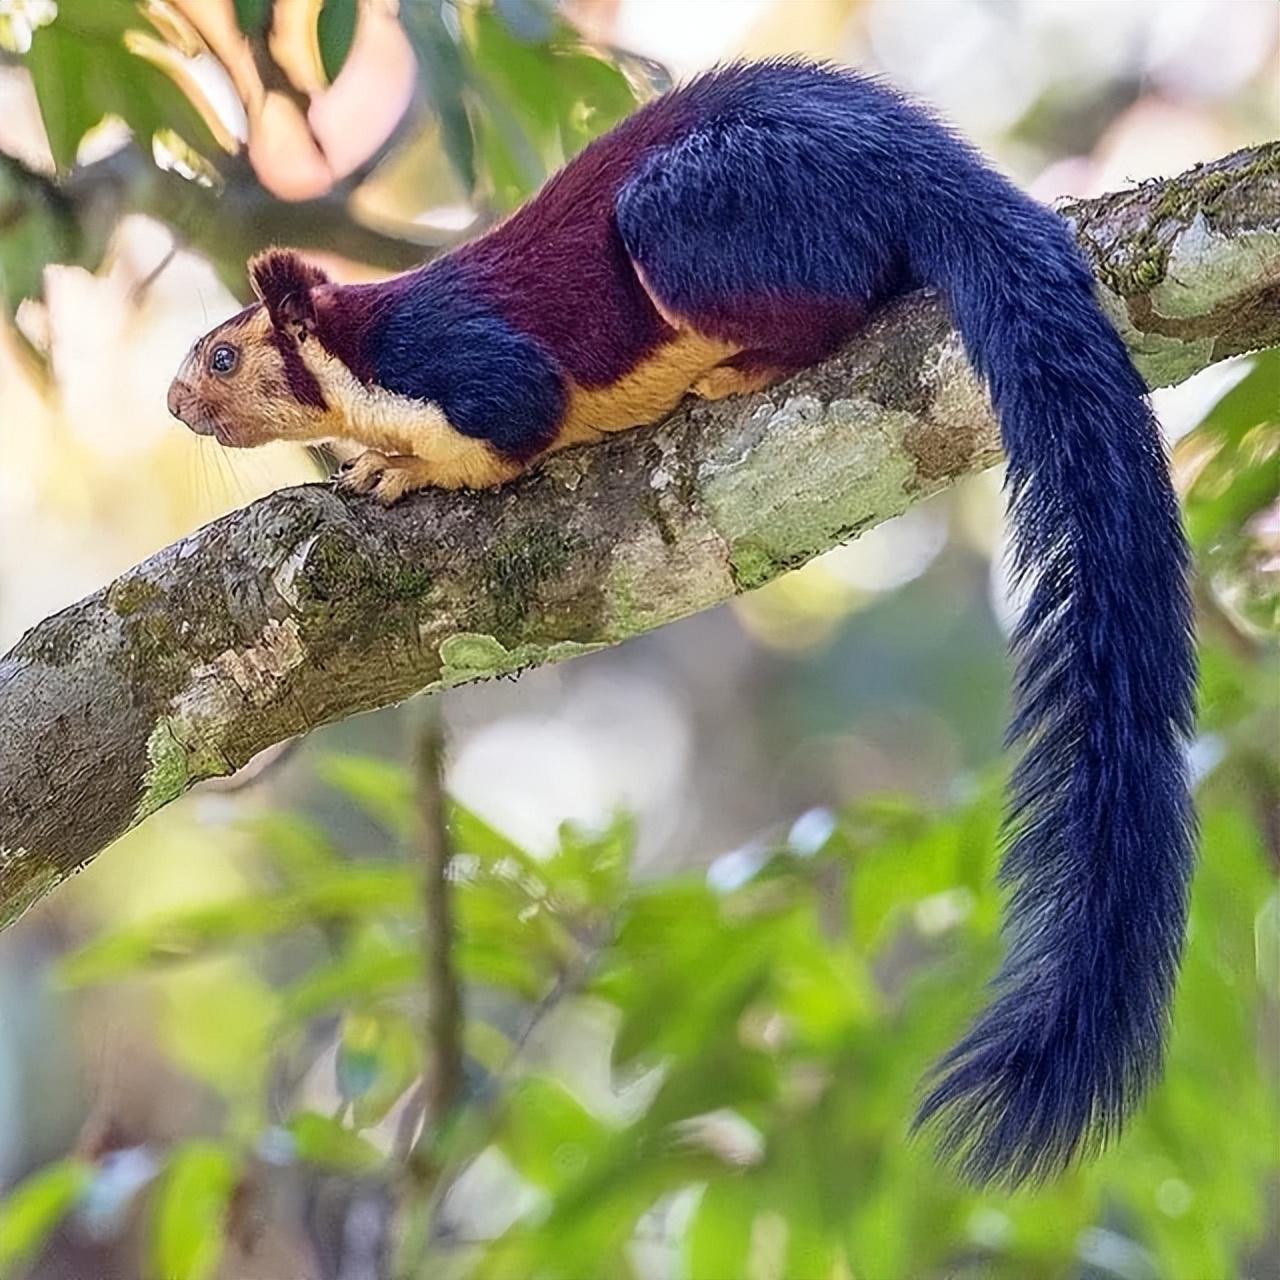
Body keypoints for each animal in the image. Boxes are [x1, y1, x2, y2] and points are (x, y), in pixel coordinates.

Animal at [165, 57, 1192, 1177]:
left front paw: (396, 467)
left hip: (703, 210)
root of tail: (921, 161)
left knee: (830, 295)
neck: (354, 354)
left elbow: (512, 424)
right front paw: (369, 457)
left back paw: (738, 364)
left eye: (223, 358)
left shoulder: (456, 361)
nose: (173, 404)